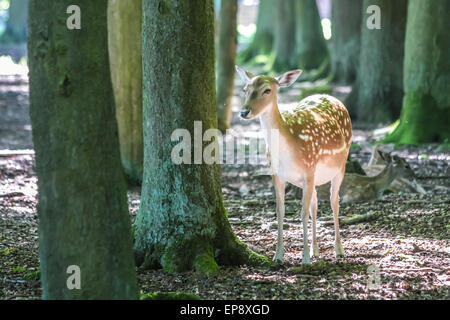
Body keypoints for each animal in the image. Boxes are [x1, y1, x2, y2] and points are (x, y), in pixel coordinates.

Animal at [236, 65, 352, 264]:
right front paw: (278, 255)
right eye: (245, 89)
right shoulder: (276, 175)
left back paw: (339, 250)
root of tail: (333, 98)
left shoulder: (309, 170)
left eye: (267, 90)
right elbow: (280, 210)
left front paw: (304, 259)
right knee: (315, 202)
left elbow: (302, 213)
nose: (244, 112)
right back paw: (315, 250)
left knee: (334, 201)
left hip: (340, 165)